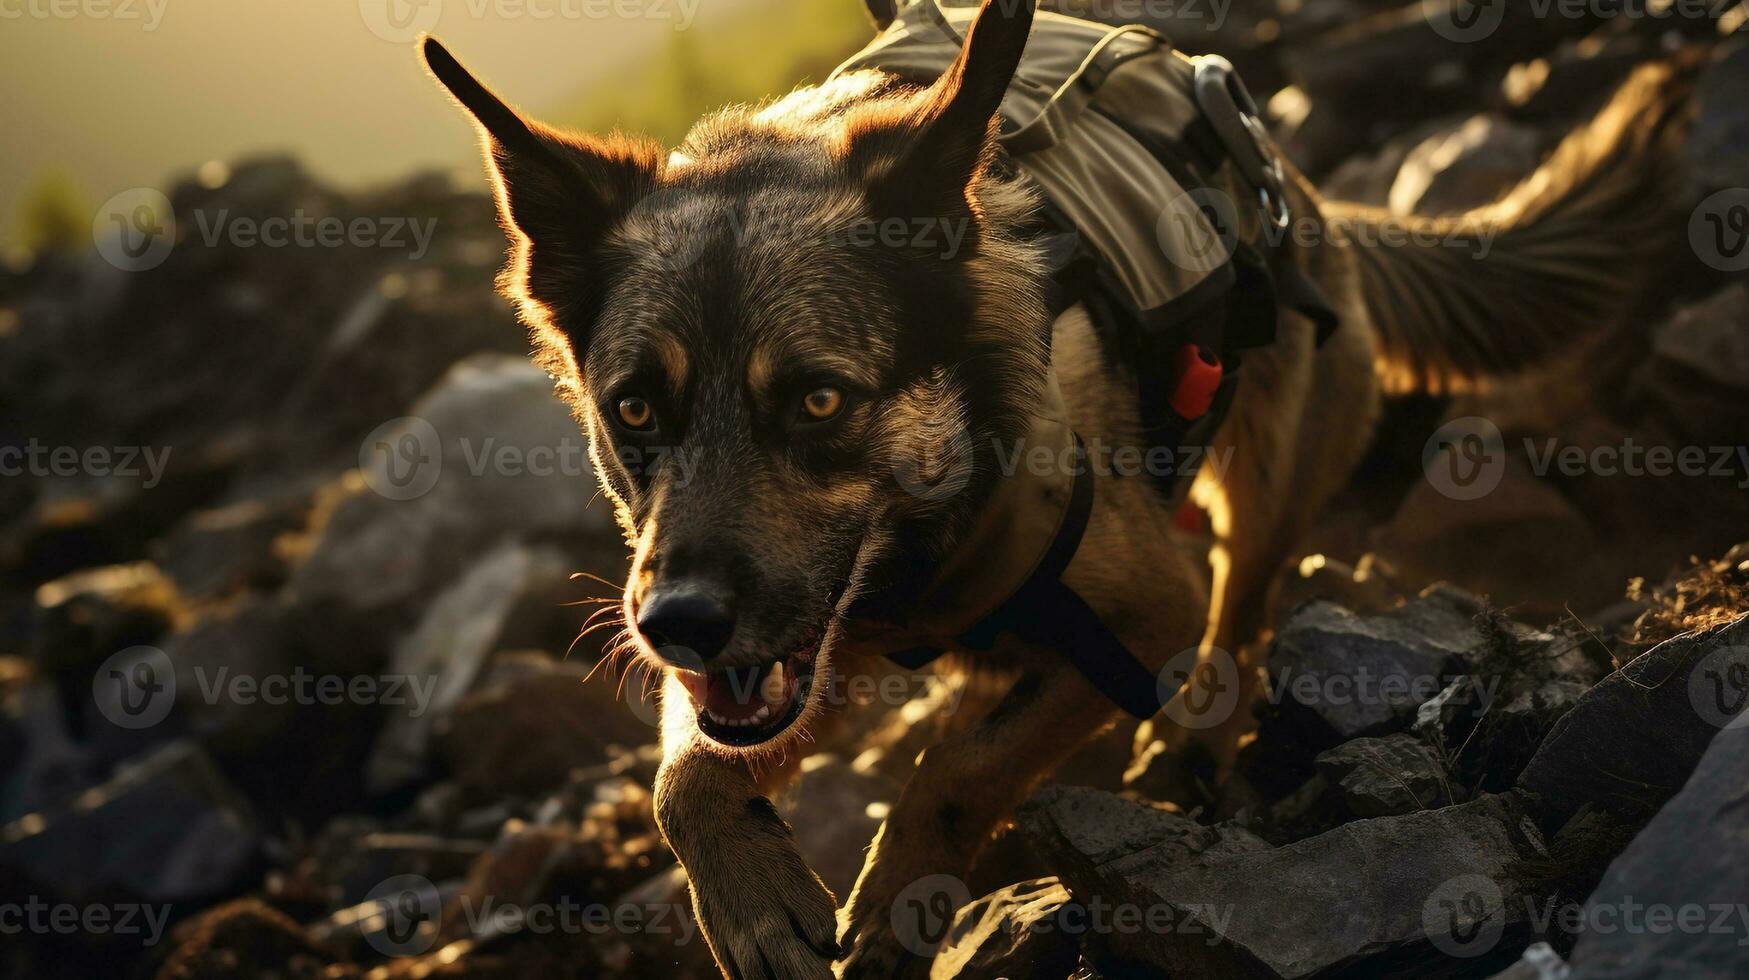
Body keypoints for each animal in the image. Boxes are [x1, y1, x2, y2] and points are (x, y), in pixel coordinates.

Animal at [416, 1, 1686, 973]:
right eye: (635, 410)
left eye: (820, 401)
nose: (674, 624)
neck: (913, 549)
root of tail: (1312, 200)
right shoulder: (786, 651)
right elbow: (688, 777)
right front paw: (754, 897)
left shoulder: (1135, 613)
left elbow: (958, 766)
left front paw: (898, 897)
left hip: (1265, 487)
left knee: (1241, 614)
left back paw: (1190, 728)